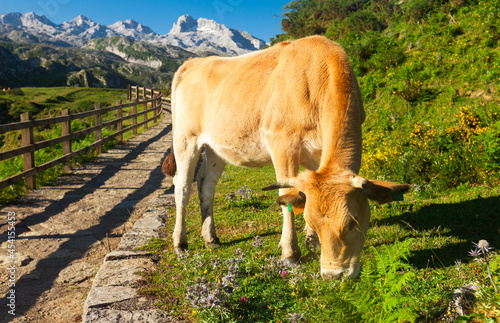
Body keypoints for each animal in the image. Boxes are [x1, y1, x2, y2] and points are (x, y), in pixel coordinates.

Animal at [162, 36, 408, 280]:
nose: (333, 274)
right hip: (185, 139)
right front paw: (290, 252)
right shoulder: (282, 142)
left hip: (216, 146)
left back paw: (210, 237)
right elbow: (286, 195)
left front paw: (311, 241)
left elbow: (304, 192)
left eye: (353, 221)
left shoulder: (317, 155)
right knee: (182, 186)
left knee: (206, 185)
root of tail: (195, 62)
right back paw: (180, 242)